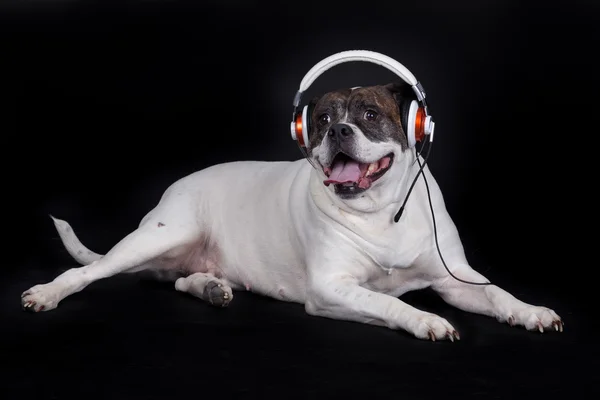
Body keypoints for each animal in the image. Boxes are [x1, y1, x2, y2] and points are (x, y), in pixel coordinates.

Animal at [18, 50, 564, 340]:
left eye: (369, 114)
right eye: (321, 118)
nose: (338, 130)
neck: (382, 212)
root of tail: (177, 185)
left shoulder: (456, 279)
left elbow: (496, 292)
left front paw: (531, 311)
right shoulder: (332, 289)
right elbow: (389, 304)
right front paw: (426, 319)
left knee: (179, 281)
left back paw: (210, 287)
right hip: (160, 235)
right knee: (88, 271)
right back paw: (47, 293)